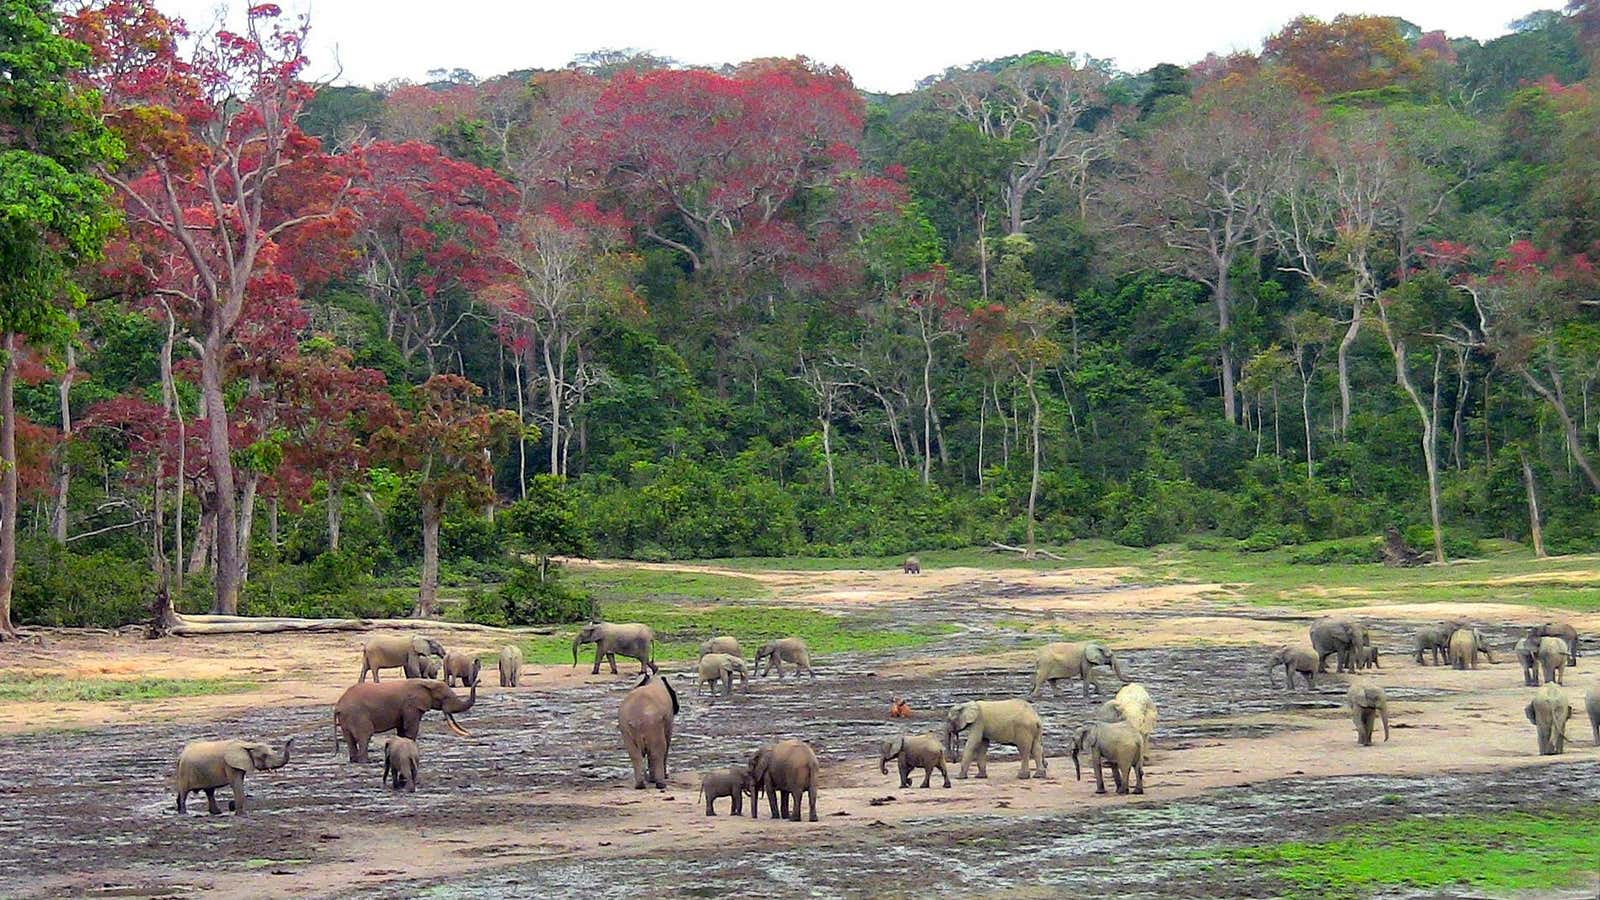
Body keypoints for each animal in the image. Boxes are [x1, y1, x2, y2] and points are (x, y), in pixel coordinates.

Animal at [328, 675, 470, 759]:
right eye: (445, 698)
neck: (426, 682)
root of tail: (338, 705)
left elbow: (402, 730)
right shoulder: (410, 705)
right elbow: (411, 728)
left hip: (346, 718)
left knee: (350, 740)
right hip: (357, 715)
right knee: (364, 736)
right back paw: (366, 762)